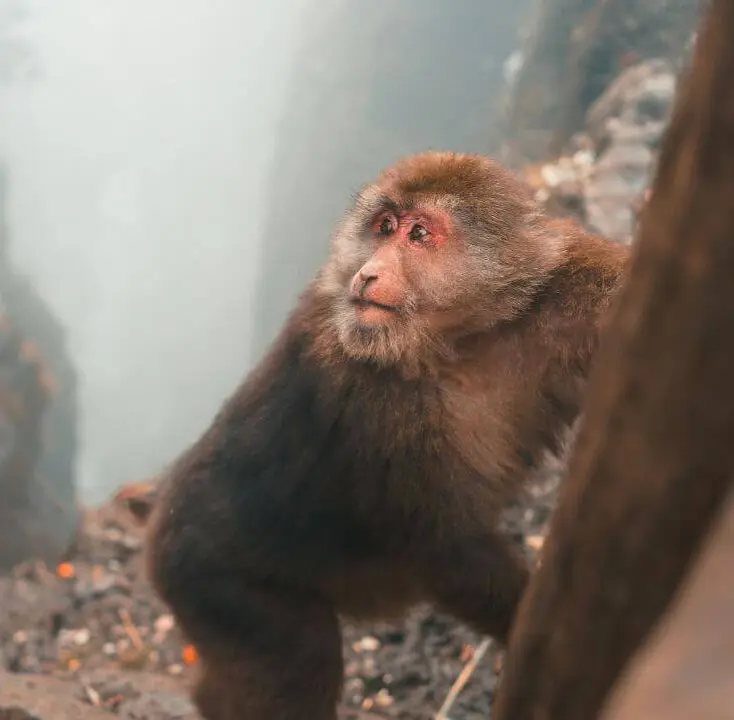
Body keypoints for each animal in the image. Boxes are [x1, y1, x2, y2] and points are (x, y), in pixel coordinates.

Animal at [145, 150, 629, 720]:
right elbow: (443, 549)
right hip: (212, 583)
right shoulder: (373, 404)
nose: (368, 272)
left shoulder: (561, 290)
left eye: (418, 233)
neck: (458, 344)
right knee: (300, 660)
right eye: (384, 227)